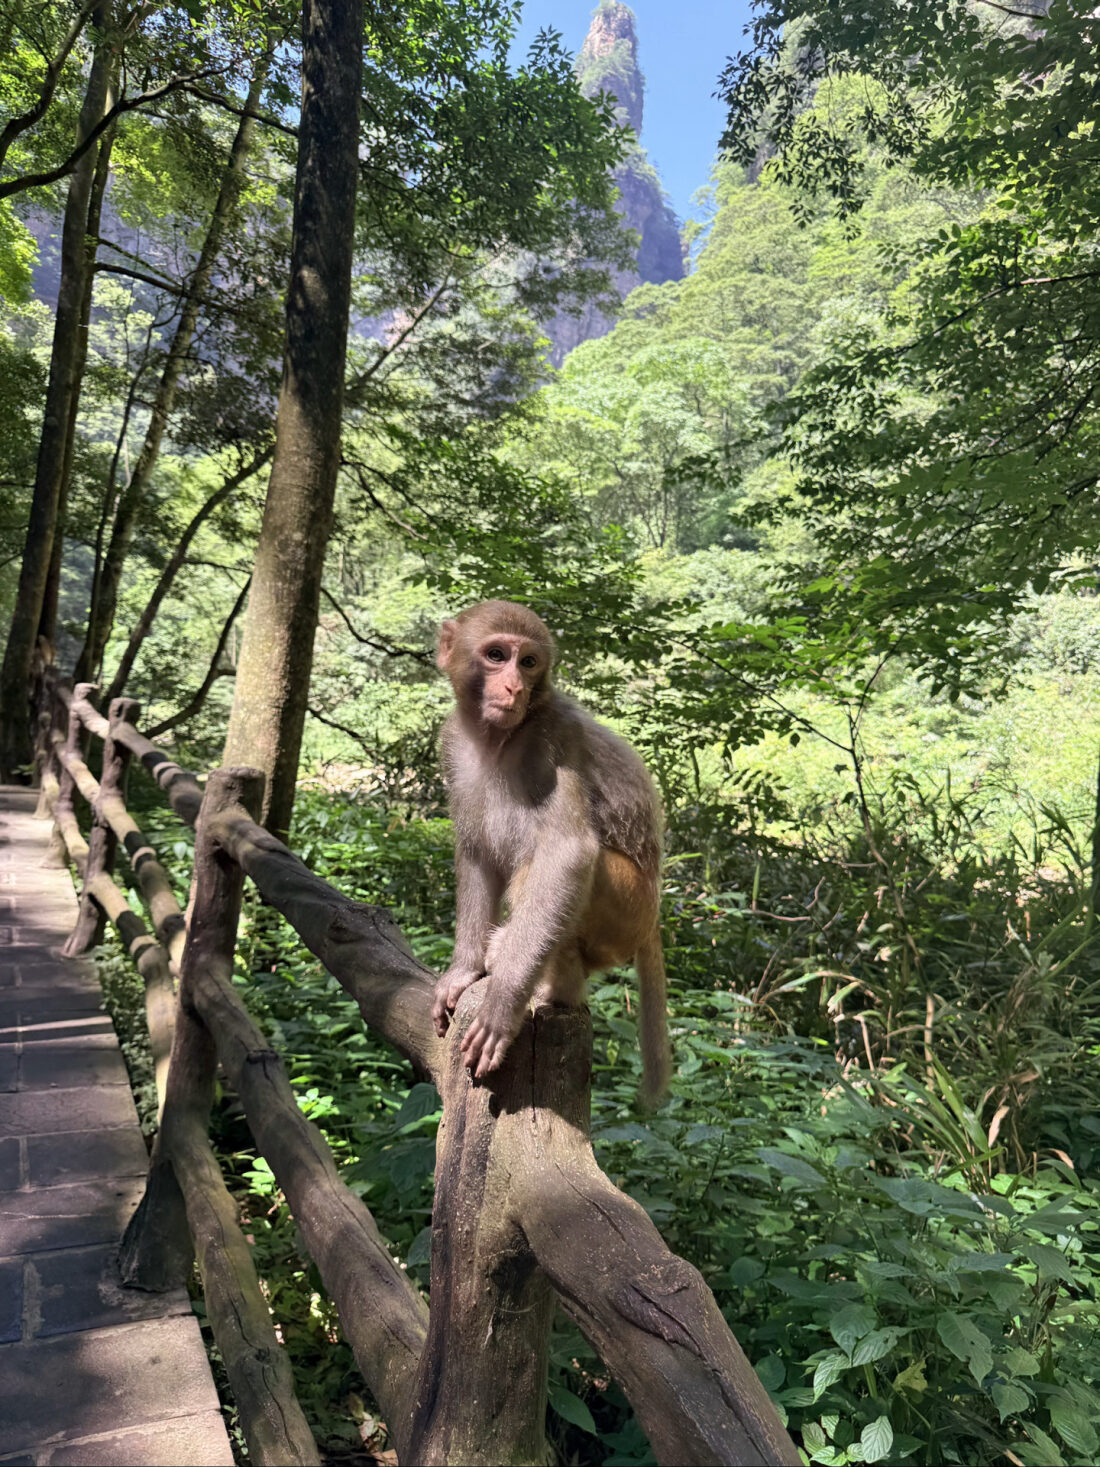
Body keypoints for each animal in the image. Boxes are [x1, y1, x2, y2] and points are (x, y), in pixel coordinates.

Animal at [431, 599, 671, 1105]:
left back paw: (554, 988)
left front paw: (502, 1003)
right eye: (497, 655)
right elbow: (476, 854)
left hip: (629, 908)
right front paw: (463, 972)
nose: (514, 687)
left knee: (550, 865)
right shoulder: (453, 745)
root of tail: (654, 919)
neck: (497, 740)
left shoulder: (554, 740)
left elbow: (567, 853)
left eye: (528, 662)